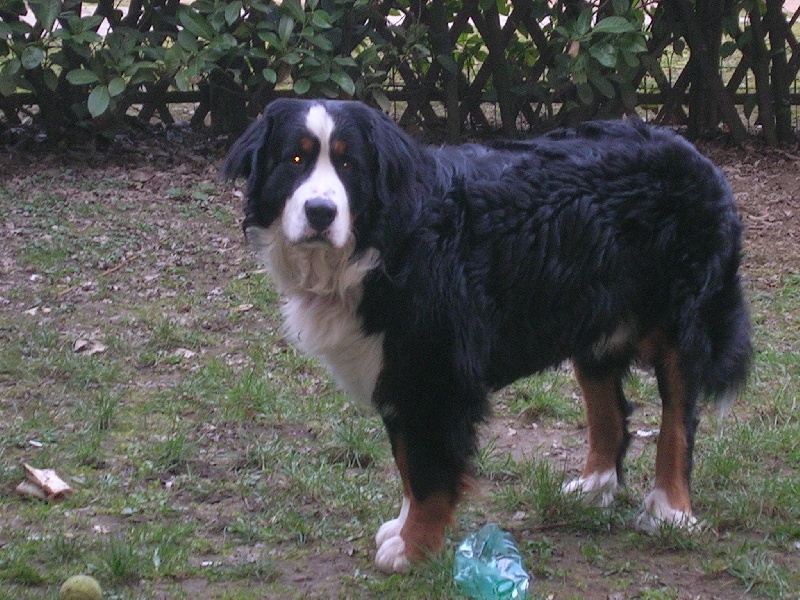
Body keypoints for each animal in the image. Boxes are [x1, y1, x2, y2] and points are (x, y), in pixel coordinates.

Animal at [223, 98, 751, 573]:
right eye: (294, 160)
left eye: (349, 164)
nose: (320, 212)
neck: (385, 243)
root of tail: (690, 150)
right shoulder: (396, 370)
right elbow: (408, 463)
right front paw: (403, 528)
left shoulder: (435, 371)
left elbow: (429, 473)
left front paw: (413, 548)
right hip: (592, 319)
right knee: (611, 414)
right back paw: (594, 487)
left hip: (683, 326)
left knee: (678, 424)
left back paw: (670, 509)